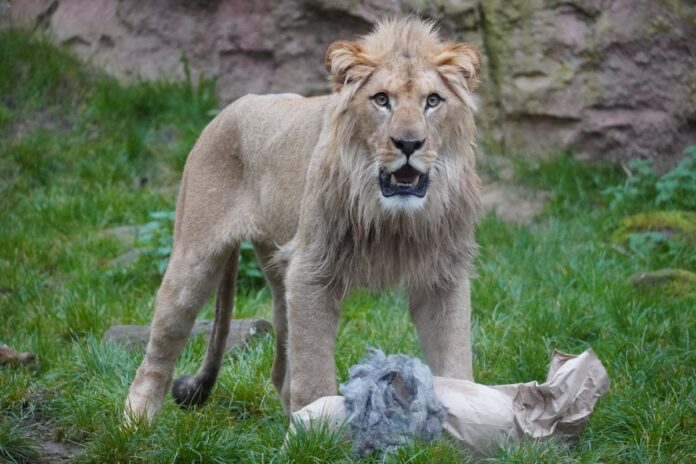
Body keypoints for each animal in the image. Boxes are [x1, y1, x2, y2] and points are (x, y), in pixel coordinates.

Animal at [125, 17, 482, 420]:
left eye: (432, 101)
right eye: (381, 99)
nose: (409, 144)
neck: (392, 218)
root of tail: (230, 108)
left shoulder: (442, 275)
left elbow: (454, 356)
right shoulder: (311, 270)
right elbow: (313, 370)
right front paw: (319, 429)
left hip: (279, 271)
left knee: (281, 369)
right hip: (195, 257)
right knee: (161, 344)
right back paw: (136, 420)